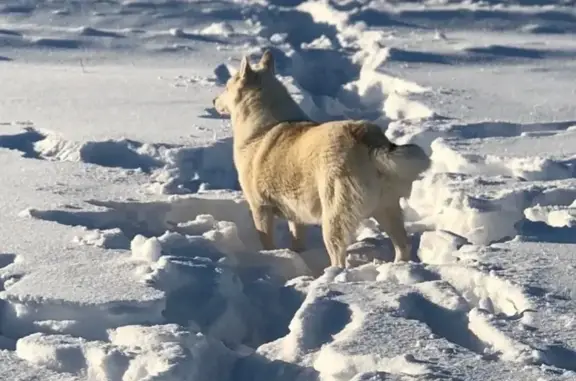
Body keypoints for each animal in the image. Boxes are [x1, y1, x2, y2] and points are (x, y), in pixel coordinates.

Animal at [214, 49, 430, 268]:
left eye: (227, 87)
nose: (213, 100)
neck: (261, 129)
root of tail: (366, 136)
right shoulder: (296, 214)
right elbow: (297, 237)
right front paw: (297, 253)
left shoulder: (260, 207)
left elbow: (266, 239)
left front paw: (270, 256)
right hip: (387, 208)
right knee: (403, 245)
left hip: (334, 217)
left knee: (339, 256)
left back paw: (334, 274)